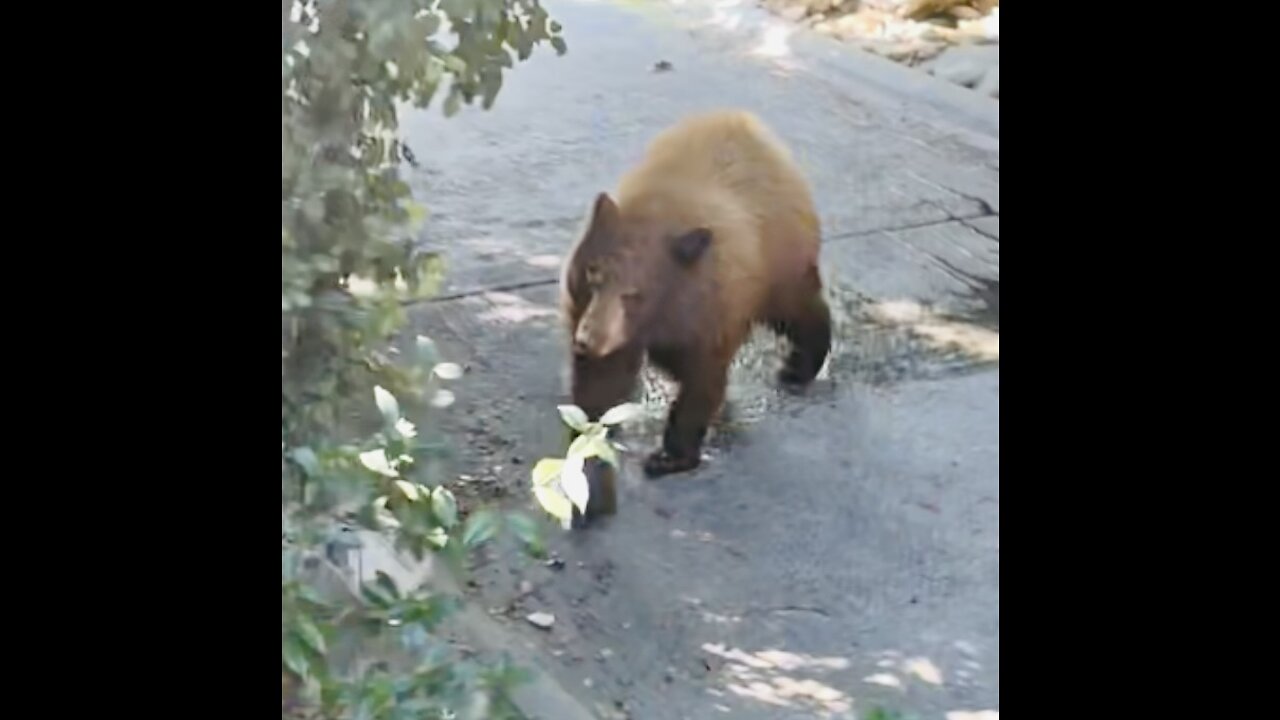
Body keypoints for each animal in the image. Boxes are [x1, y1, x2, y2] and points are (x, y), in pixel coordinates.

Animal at [560, 107, 829, 476]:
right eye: (593, 273)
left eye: (636, 293)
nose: (587, 340)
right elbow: (604, 377)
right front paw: (590, 429)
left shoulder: (709, 311)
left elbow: (702, 378)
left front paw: (670, 456)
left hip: (780, 261)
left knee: (799, 309)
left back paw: (798, 368)